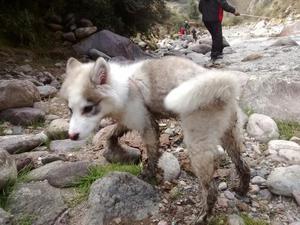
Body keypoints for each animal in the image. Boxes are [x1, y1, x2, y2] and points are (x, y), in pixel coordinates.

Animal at [59, 56, 250, 223]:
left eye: (88, 108)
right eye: (70, 110)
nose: (71, 136)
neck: (125, 88)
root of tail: (223, 84)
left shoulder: (147, 126)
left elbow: (151, 155)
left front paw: (148, 176)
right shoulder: (134, 119)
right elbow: (112, 133)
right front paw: (113, 148)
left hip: (197, 147)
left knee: (211, 190)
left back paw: (202, 217)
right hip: (230, 137)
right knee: (243, 166)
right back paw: (242, 189)